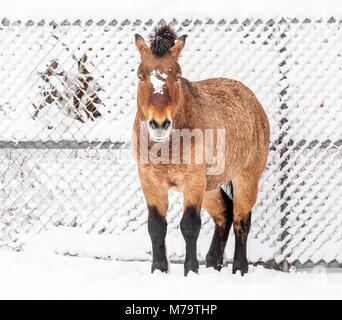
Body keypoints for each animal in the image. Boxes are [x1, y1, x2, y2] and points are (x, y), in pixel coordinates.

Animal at [132, 25, 268, 276]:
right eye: (140, 75)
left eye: (176, 75)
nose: (159, 124)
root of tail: (251, 99)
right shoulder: (150, 181)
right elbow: (156, 226)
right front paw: (159, 270)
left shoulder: (193, 181)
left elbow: (189, 226)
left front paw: (191, 271)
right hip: (211, 187)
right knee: (224, 213)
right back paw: (213, 262)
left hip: (246, 178)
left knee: (241, 220)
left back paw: (239, 268)